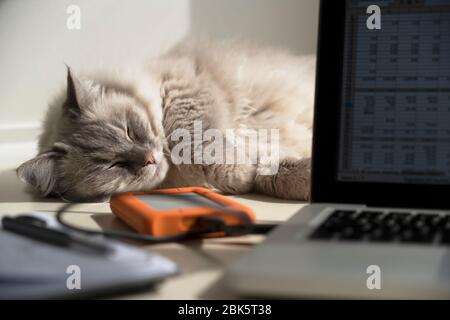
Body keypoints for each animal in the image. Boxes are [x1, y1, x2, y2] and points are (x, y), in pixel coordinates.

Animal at [16, 38, 312, 201]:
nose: (149, 158)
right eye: (113, 165)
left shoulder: (182, 89)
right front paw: (244, 175)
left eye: (130, 131)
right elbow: (265, 173)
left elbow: (194, 140)